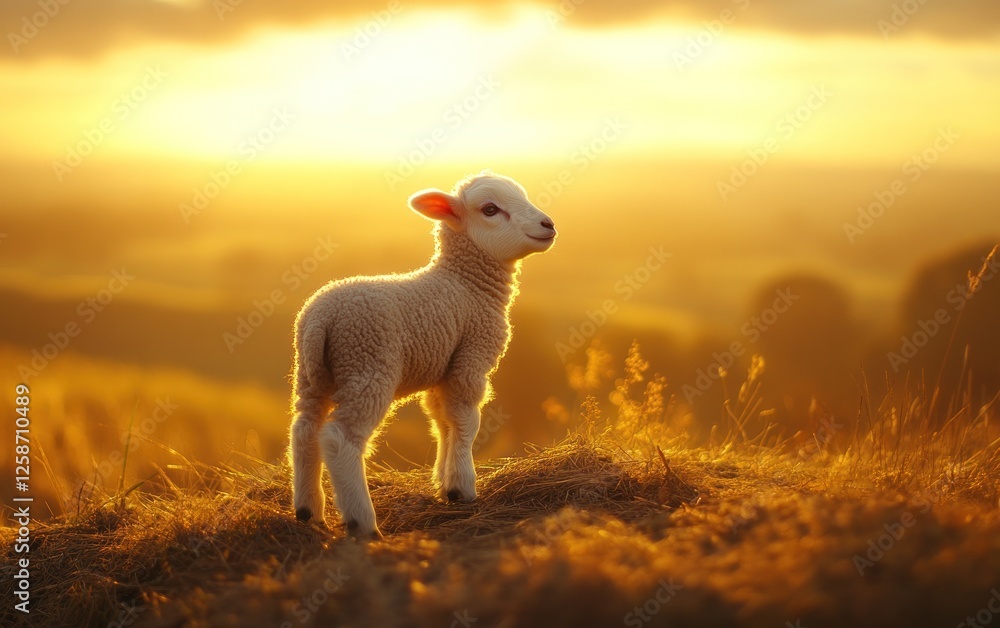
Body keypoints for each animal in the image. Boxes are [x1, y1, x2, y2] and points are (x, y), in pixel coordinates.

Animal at [288, 171, 557, 538]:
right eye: (490, 209)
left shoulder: (444, 367)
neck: (465, 282)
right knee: (338, 438)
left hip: (311, 374)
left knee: (304, 429)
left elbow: (441, 421)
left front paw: (444, 484)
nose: (548, 224)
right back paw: (362, 522)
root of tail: (321, 318)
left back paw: (307, 510)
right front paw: (463, 487)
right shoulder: (472, 357)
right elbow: (466, 421)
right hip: (367, 364)